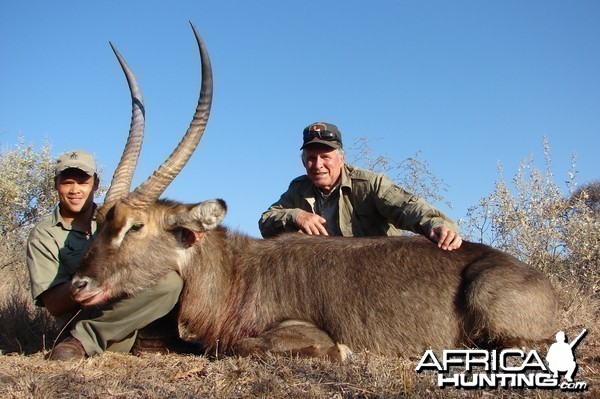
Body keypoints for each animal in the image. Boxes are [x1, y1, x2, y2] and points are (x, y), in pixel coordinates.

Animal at [71, 25, 556, 362]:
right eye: (100, 222)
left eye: (135, 226)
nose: (78, 284)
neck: (236, 272)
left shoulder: (291, 328)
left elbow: (251, 345)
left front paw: (341, 352)